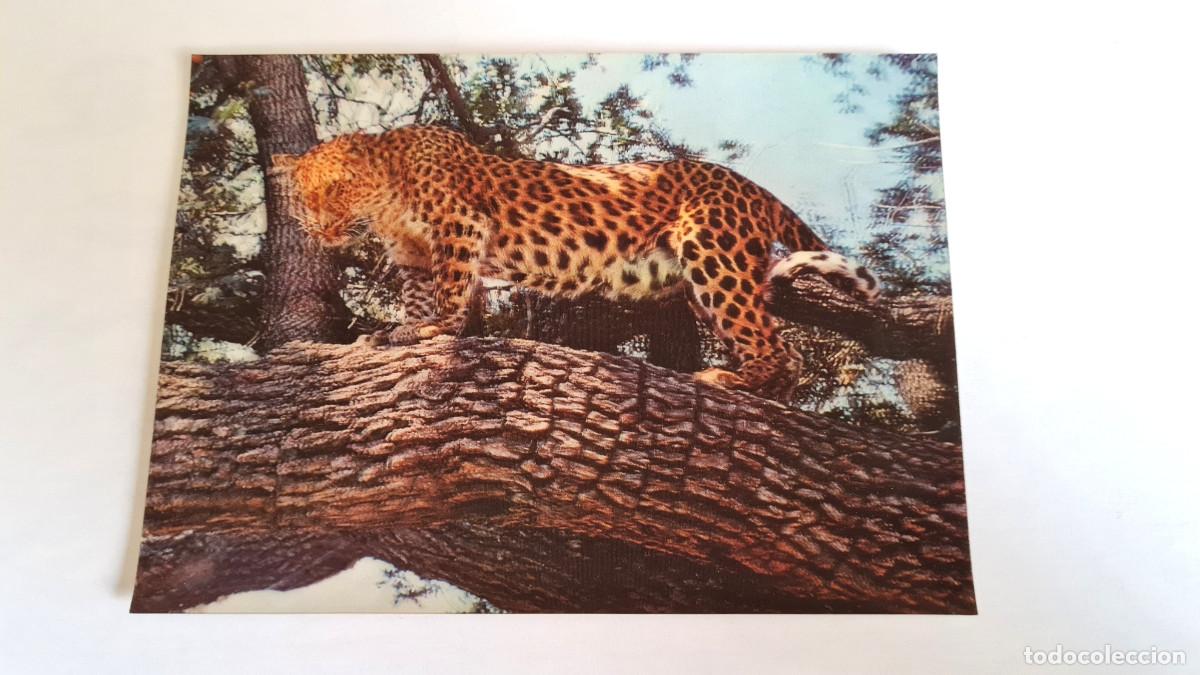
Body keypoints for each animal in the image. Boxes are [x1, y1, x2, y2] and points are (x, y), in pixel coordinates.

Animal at [272, 125, 879, 400]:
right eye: (304, 198)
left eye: (338, 189)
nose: (320, 230)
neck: (387, 195)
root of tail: (748, 184)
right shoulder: (415, 258)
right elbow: (420, 297)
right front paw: (399, 330)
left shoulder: (460, 227)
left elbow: (450, 291)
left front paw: (434, 330)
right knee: (784, 346)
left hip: (713, 252)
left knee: (775, 344)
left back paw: (733, 379)